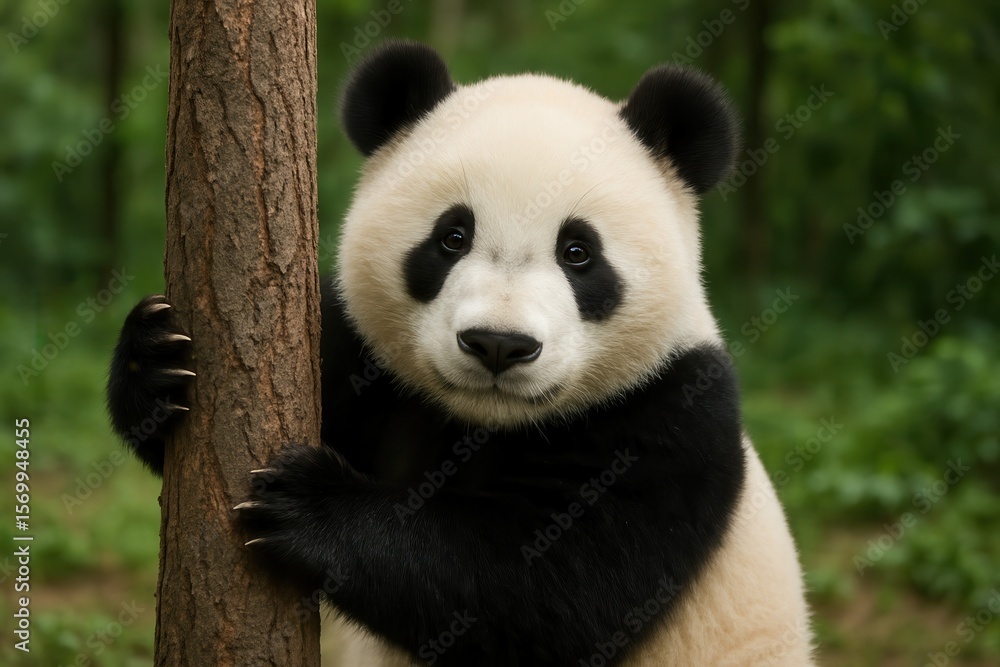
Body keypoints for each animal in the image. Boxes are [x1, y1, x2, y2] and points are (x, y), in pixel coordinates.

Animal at [107, 40, 813, 666]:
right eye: (452, 236)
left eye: (578, 252)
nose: (498, 343)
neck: (483, 423)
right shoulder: (369, 364)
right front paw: (158, 362)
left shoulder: (672, 418)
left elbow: (543, 593)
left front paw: (309, 506)